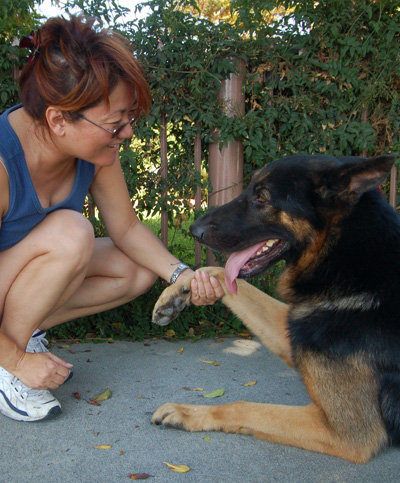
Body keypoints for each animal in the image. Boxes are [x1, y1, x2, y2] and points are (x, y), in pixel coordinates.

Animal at [151, 155, 400, 466]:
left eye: (261, 198)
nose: (193, 230)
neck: (346, 258)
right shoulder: (292, 332)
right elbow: (222, 274)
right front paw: (177, 293)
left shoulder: (347, 433)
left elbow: (243, 406)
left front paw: (188, 412)